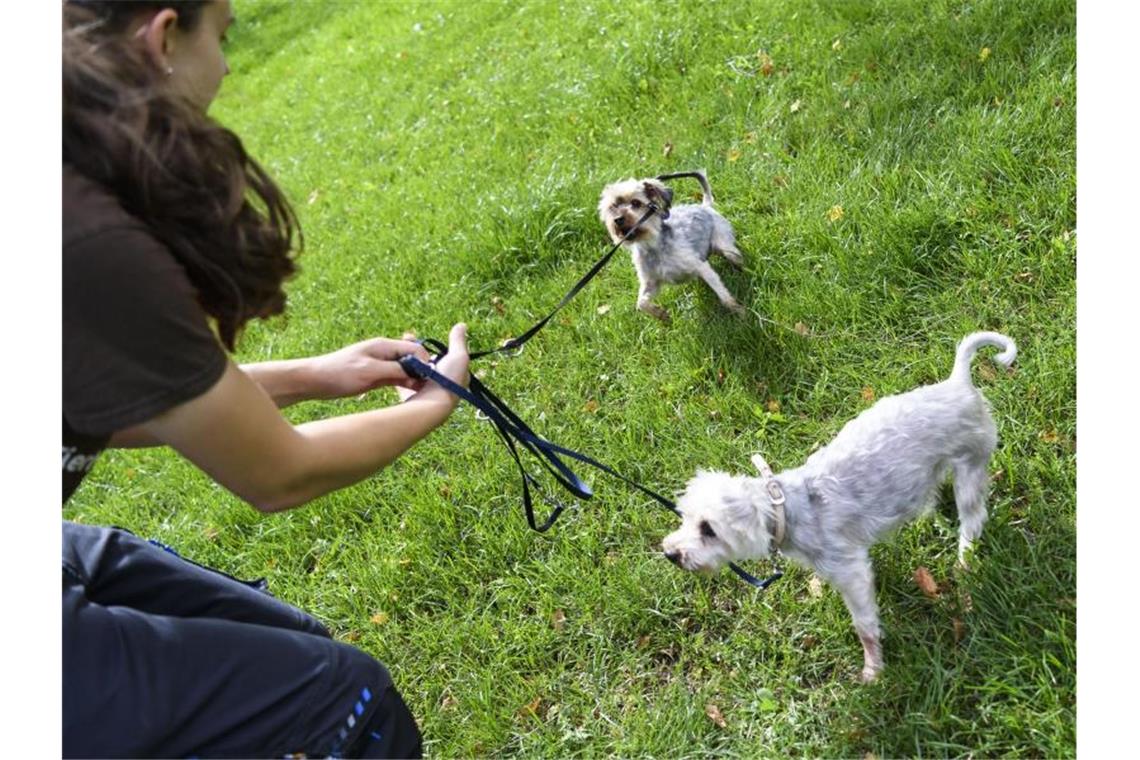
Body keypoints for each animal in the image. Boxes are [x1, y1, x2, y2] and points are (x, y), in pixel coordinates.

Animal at [597, 169, 747, 321]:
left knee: (734, 257)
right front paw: (660, 314)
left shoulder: (701, 267)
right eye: (613, 207)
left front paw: (740, 312)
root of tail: (705, 206)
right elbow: (641, 303)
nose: (618, 219)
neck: (651, 246)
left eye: (636, 203)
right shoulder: (651, 282)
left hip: (725, 246)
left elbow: (723, 295)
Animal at [661, 332, 1016, 683]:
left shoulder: (850, 572)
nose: (670, 553)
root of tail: (958, 382)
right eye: (685, 517)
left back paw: (964, 560)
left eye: (708, 529)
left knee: (973, 519)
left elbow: (865, 627)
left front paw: (873, 668)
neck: (791, 508)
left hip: (971, 466)